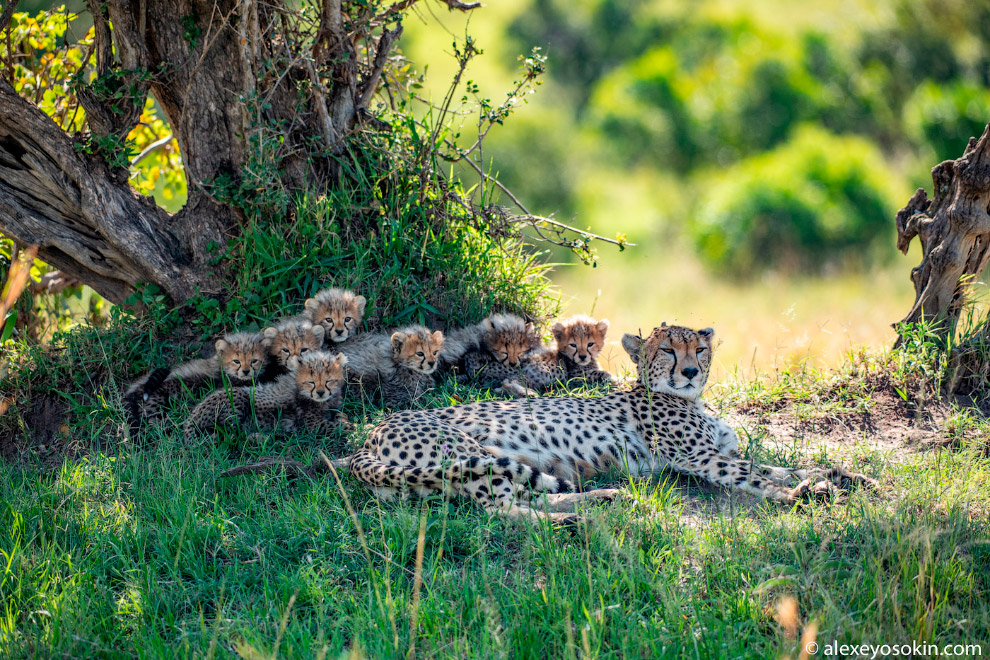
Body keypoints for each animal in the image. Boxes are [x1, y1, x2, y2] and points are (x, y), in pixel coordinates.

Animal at [346, 324, 876, 520]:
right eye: (668, 350)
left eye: (699, 349)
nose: (689, 371)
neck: (691, 400)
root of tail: (366, 440)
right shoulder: (700, 458)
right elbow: (757, 475)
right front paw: (800, 494)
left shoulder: (718, 451)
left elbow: (781, 465)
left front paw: (841, 475)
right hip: (468, 454)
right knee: (502, 510)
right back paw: (571, 523)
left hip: (486, 465)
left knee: (532, 493)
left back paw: (603, 498)